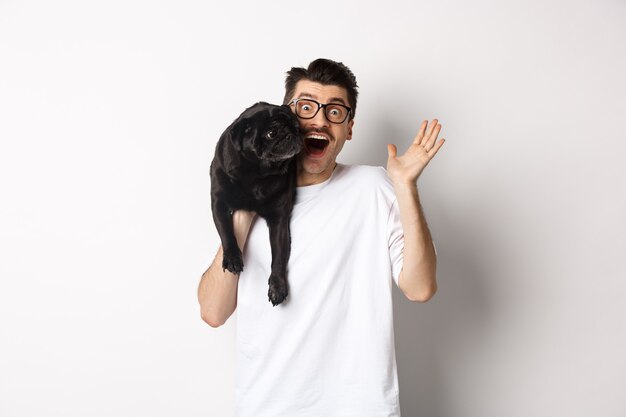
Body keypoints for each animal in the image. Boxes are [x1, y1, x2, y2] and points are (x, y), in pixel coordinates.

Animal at [210, 101, 302, 306]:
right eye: (271, 133)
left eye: (297, 126)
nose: (292, 134)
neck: (257, 174)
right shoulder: (219, 203)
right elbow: (226, 232)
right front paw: (233, 258)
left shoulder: (279, 220)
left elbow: (278, 256)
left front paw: (277, 286)